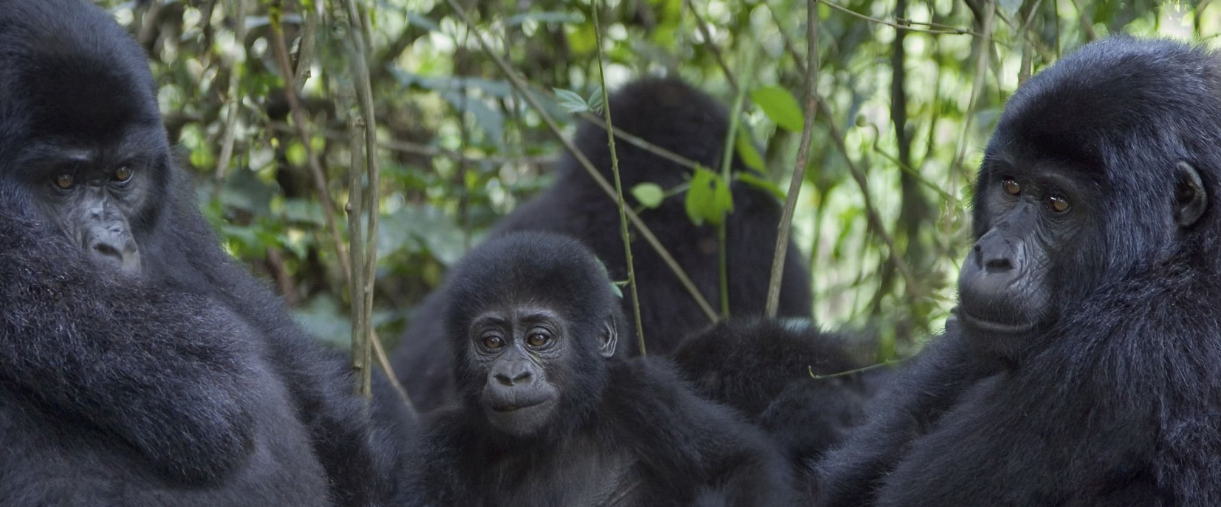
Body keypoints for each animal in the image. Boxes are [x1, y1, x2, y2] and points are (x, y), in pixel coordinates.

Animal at [402, 233, 800, 507]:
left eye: (538, 339)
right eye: (491, 343)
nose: (512, 375)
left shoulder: (643, 393)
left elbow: (739, 463)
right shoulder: (440, 444)